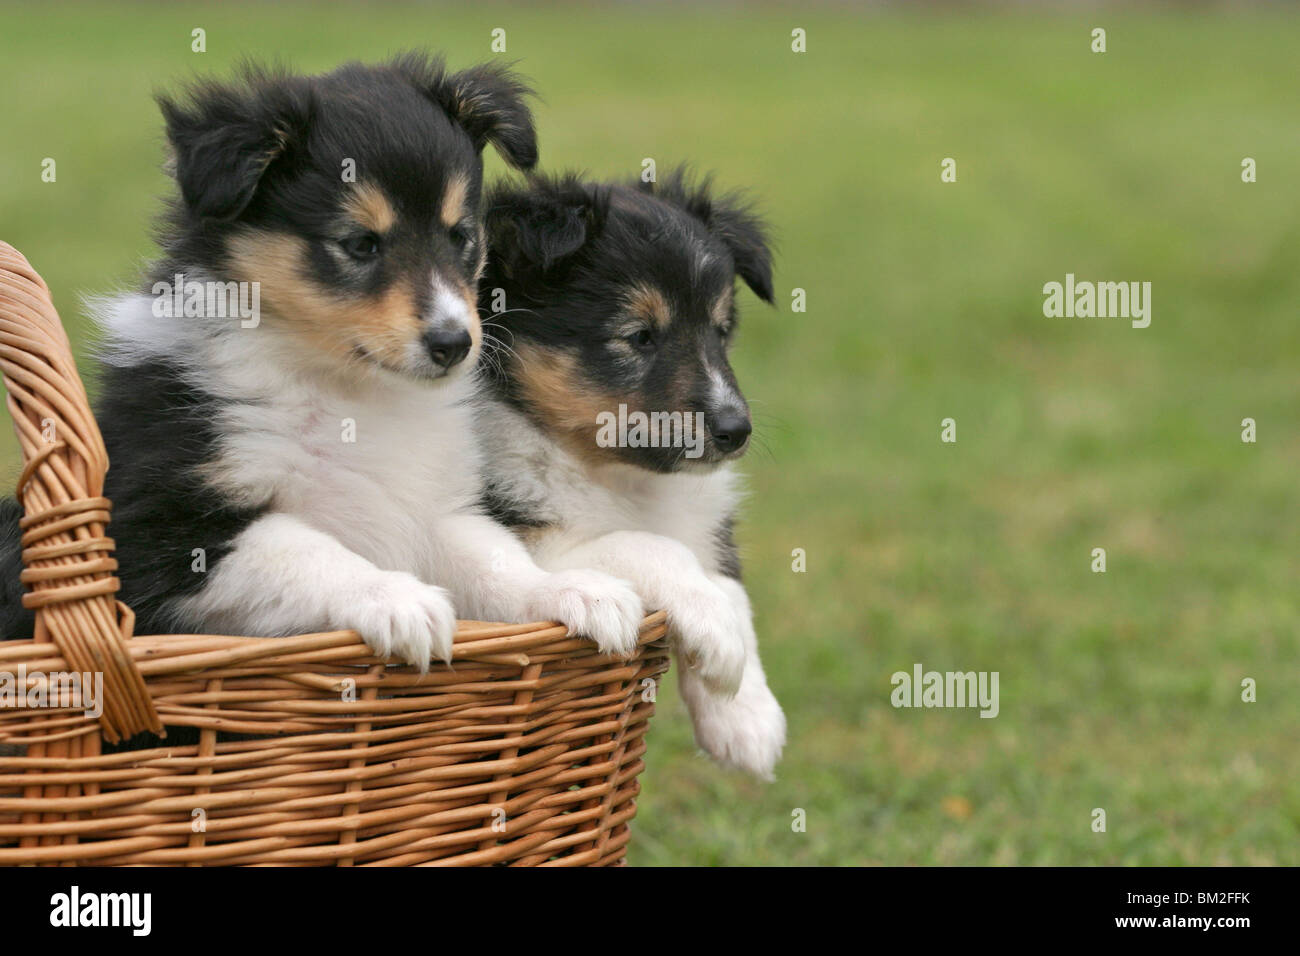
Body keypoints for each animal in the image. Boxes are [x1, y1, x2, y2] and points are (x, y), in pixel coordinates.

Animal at [0, 54, 647, 665]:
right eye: (360, 243)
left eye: (461, 235)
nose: (454, 345)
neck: (347, 390)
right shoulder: (167, 526)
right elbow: (308, 547)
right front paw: (400, 599)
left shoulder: (435, 508)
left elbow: (494, 558)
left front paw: (574, 591)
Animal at [475, 166, 785, 780]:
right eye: (639, 335)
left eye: (720, 330)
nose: (736, 430)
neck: (622, 477)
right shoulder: (540, 539)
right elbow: (649, 546)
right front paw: (720, 643)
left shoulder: (706, 522)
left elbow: (731, 585)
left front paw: (747, 716)